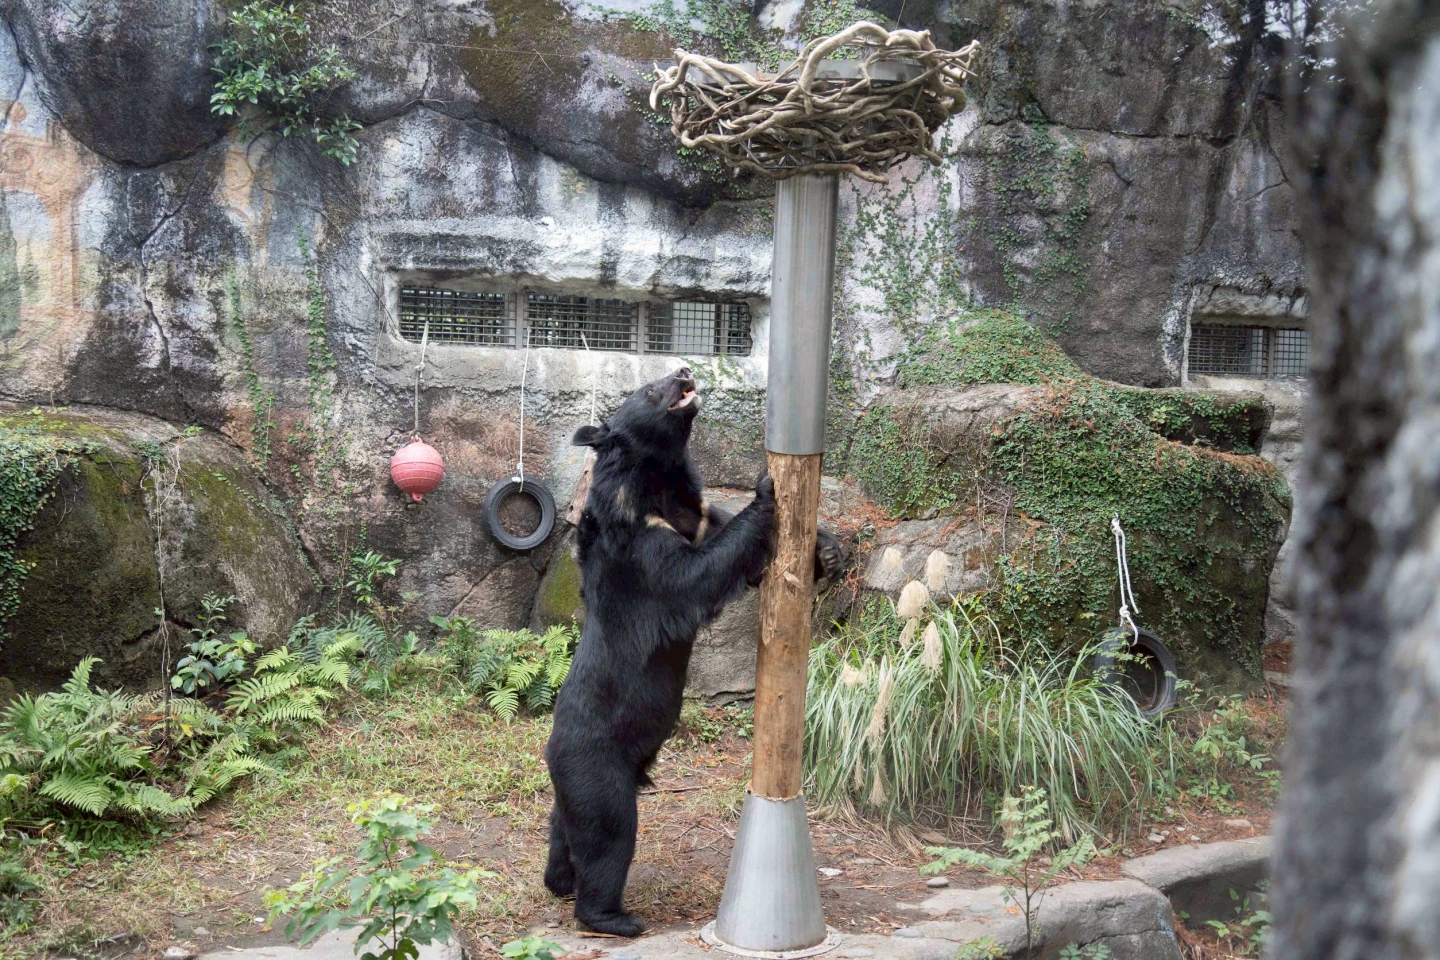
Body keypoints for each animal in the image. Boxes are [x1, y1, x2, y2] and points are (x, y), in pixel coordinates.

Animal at [543, 365, 843, 936]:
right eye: (649, 389)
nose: (684, 370)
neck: (656, 482)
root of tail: (552, 750)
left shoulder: (697, 513)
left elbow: (731, 544)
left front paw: (830, 551)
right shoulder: (641, 550)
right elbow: (695, 575)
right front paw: (766, 491)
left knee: (565, 829)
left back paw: (559, 882)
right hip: (597, 767)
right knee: (607, 834)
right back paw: (614, 917)